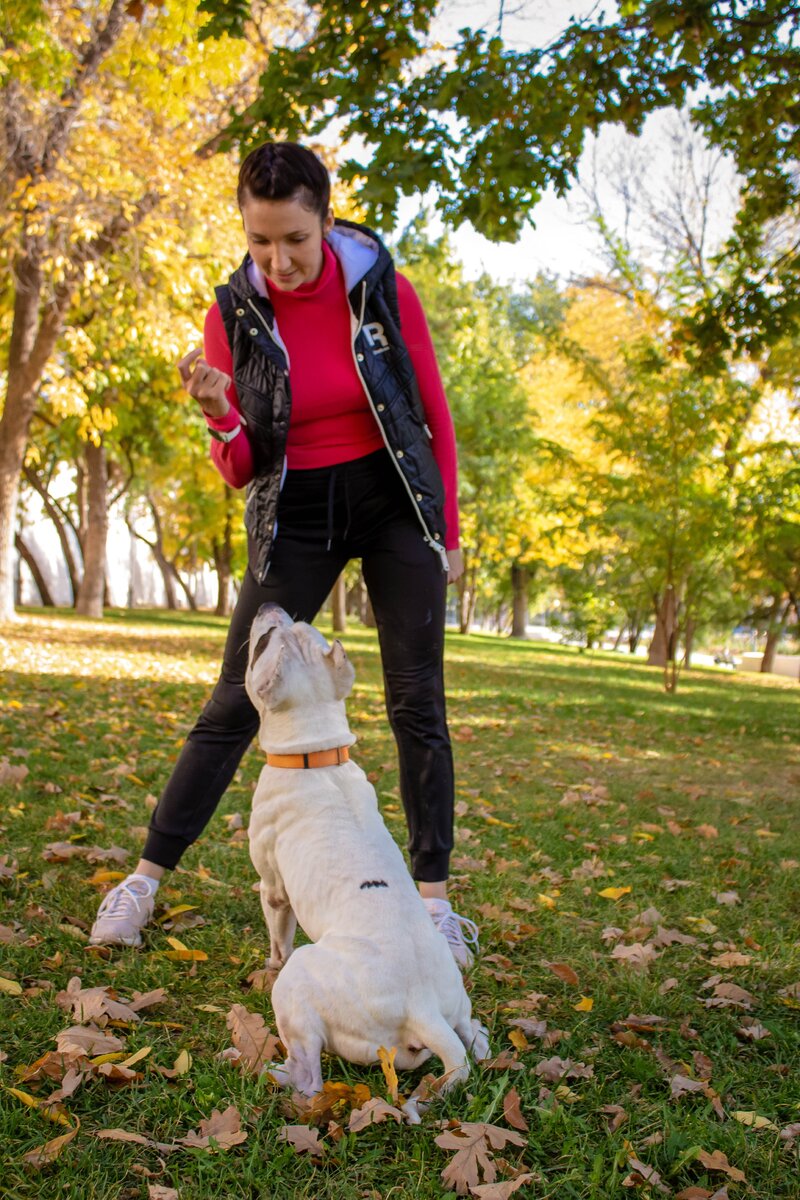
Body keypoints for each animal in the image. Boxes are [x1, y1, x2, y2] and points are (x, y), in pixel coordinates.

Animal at [247, 604, 491, 1108]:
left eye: (262, 643)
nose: (268, 606)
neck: (316, 757)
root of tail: (422, 1009)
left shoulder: (274, 890)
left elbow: (278, 938)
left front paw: (267, 966)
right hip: (455, 1008)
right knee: (472, 1036)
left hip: (302, 986)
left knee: (309, 1073)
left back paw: (278, 1075)